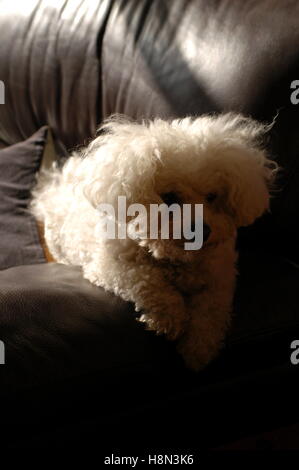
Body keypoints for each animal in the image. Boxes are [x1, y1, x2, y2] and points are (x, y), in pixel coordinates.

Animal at [31, 113, 278, 370]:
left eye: (212, 196)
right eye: (169, 198)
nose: (203, 230)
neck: (176, 259)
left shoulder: (220, 279)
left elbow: (211, 311)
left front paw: (198, 349)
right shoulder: (111, 268)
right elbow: (147, 280)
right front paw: (171, 317)